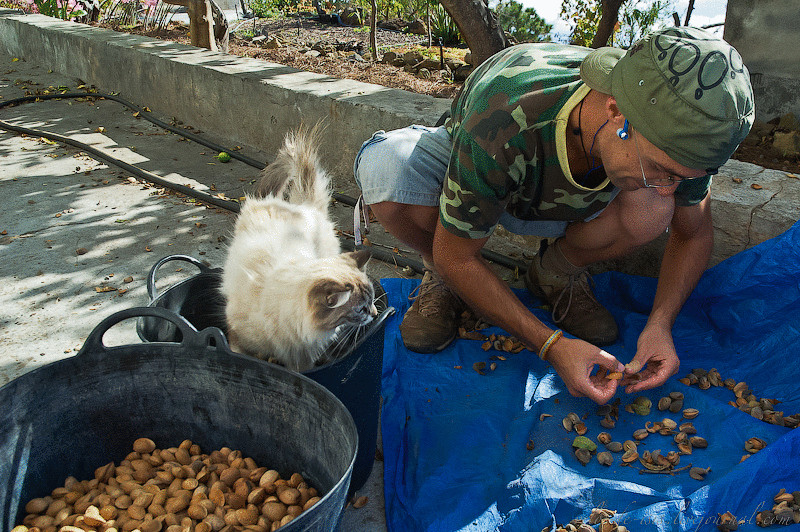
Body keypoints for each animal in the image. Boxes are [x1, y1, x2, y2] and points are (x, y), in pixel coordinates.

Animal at [220, 126, 376, 372]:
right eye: (361, 309)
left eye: (372, 302)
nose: (375, 314)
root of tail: (304, 206)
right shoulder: (238, 339)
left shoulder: (302, 357)